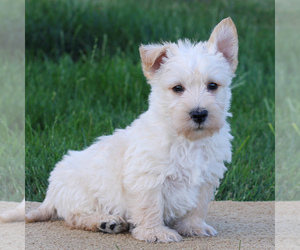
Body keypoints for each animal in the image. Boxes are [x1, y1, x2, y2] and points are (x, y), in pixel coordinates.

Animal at [25, 17, 238, 242]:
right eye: (177, 88)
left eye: (212, 86)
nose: (199, 114)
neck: (187, 140)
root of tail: (51, 193)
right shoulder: (147, 178)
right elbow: (151, 207)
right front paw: (155, 232)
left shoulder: (206, 179)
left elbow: (197, 208)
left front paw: (194, 227)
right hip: (79, 194)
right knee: (75, 217)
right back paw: (105, 222)